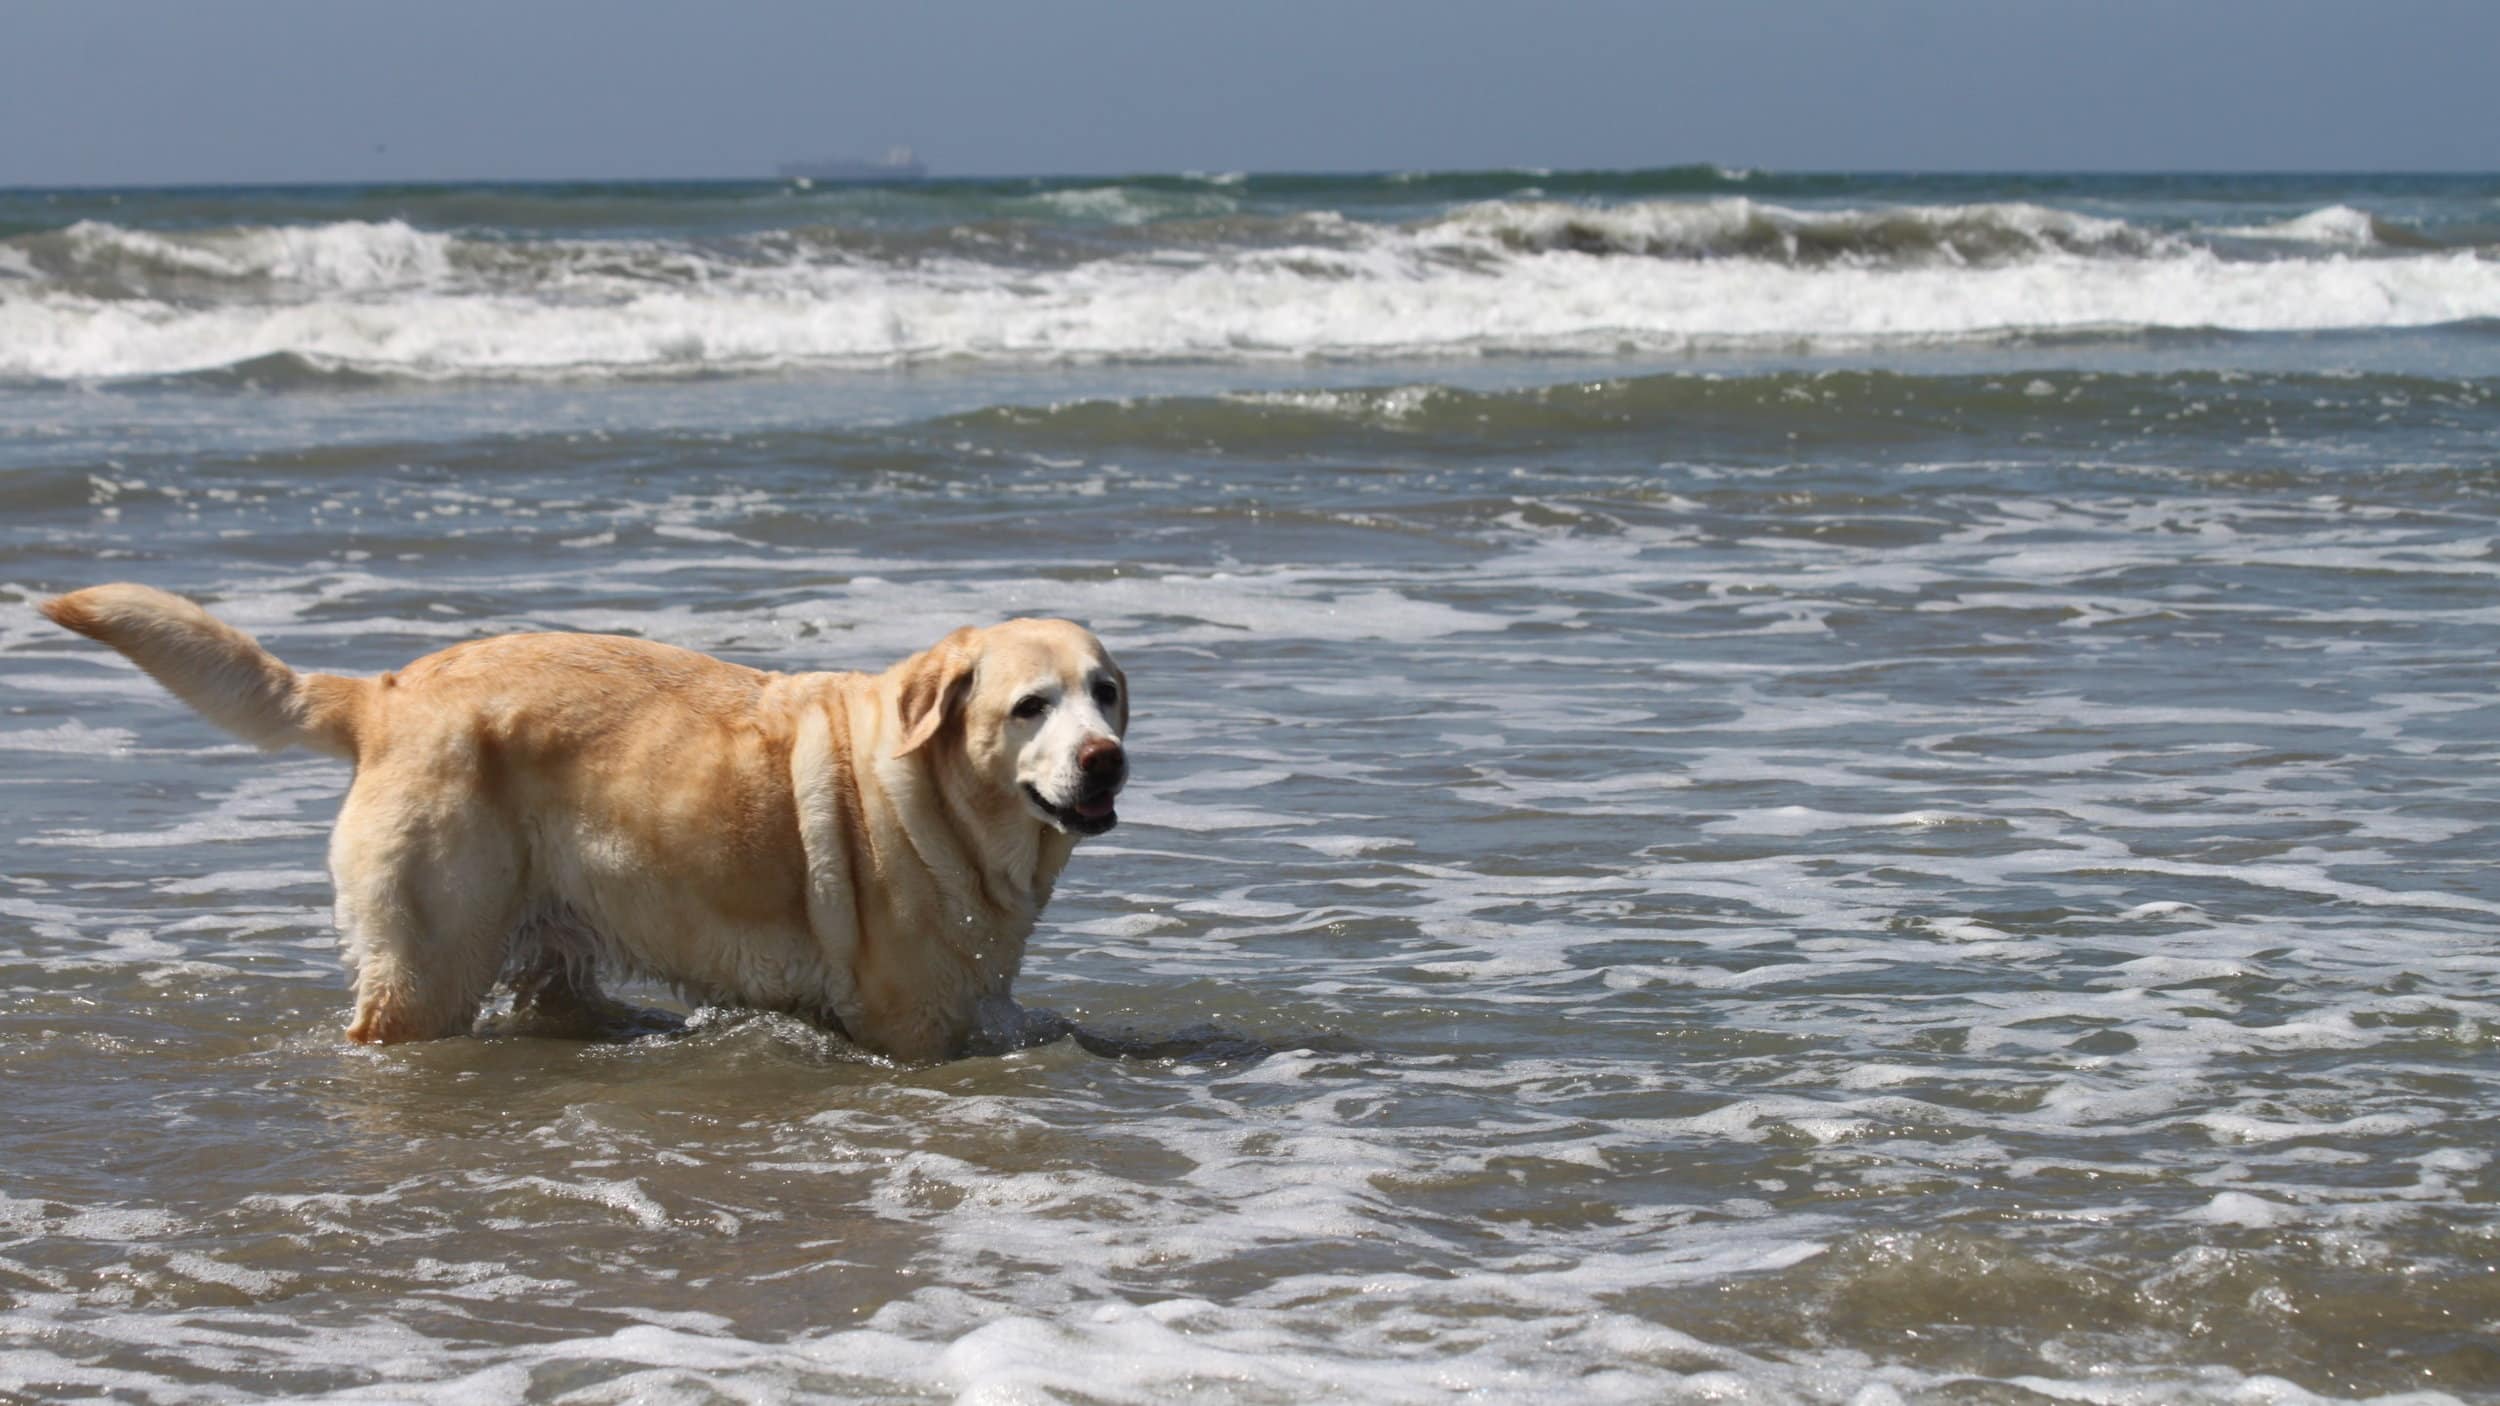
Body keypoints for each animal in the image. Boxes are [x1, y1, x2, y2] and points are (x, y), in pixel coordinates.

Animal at [44, 582, 1135, 1060]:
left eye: (1106, 693)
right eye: (1030, 707)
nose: (1106, 758)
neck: (948, 809)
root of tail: (385, 693)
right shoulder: (908, 1026)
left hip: (551, 949)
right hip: (426, 967)